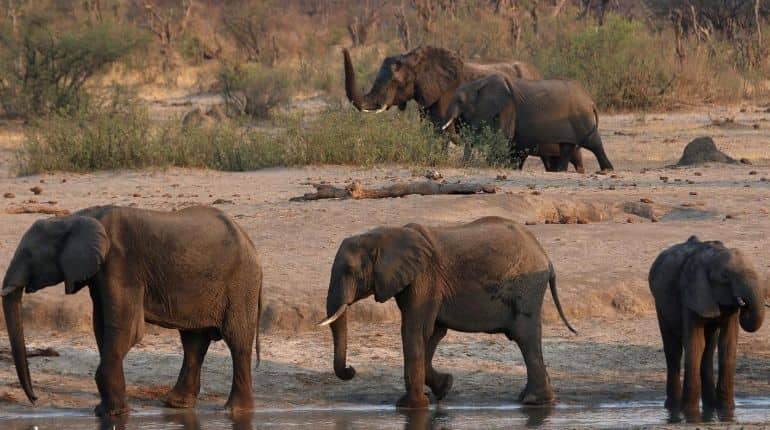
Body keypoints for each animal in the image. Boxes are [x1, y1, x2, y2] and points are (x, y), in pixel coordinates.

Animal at [1, 205, 263, 416]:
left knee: (237, 341)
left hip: (240, 284)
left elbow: (126, 328)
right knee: (193, 341)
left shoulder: (120, 263)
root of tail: (249, 241)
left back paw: (235, 410)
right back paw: (176, 404)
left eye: (29, 255)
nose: (34, 400)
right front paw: (105, 411)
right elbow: (102, 326)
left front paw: (113, 414)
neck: (75, 217)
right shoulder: (101, 272)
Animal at [319, 216, 576, 409]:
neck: (385, 235)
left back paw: (533, 401)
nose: (351, 370)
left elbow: (415, 330)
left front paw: (409, 406)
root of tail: (546, 257)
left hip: (527, 288)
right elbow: (433, 333)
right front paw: (444, 387)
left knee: (525, 335)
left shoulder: (424, 278)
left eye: (349, 270)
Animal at [441, 74, 614, 172]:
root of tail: (590, 101)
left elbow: (503, 137)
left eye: (460, 101)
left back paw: (607, 169)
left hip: (582, 118)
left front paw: (493, 165)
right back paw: (560, 171)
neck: (477, 83)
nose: (462, 164)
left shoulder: (507, 107)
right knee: (567, 146)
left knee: (594, 143)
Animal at [648, 236, 765, 416]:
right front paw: (690, 413)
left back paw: (710, 406)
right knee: (674, 350)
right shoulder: (692, 293)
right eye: (725, 276)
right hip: (660, 304)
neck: (712, 258)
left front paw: (727, 411)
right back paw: (673, 408)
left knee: (709, 348)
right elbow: (695, 344)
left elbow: (727, 344)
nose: (745, 306)